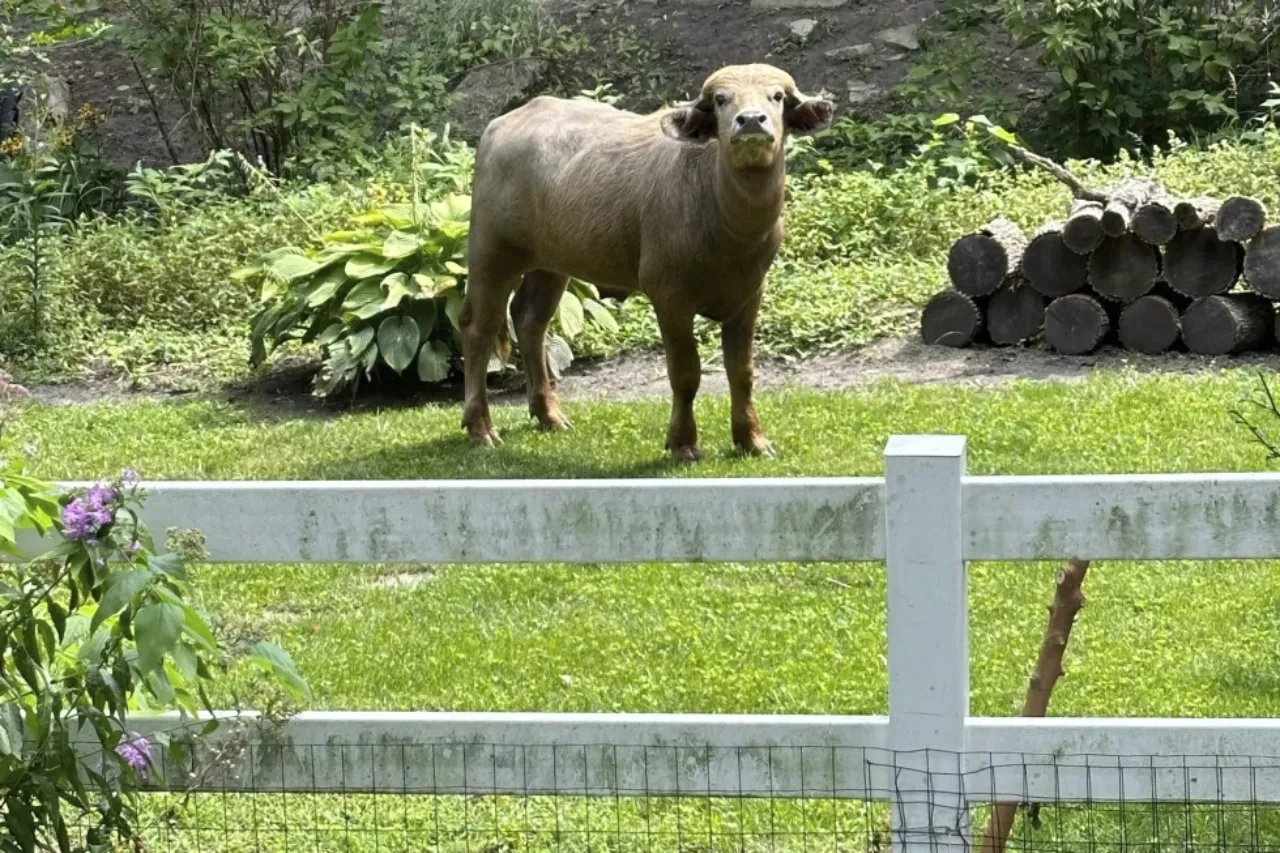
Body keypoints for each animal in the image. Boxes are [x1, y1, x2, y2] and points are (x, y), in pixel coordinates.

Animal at [455, 64, 834, 458]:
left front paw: (753, 439)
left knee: (530, 321)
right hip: (491, 252)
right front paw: (683, 443)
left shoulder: (749, 295)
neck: (725, 223)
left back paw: (549, 415)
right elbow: (685, 373)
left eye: (777, 97)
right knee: (478, 328)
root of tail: (499, 127)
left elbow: (741, 371)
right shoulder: (669, 295)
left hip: (551, 262)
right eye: (720, 99)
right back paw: (480, 427)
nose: (750, 121)